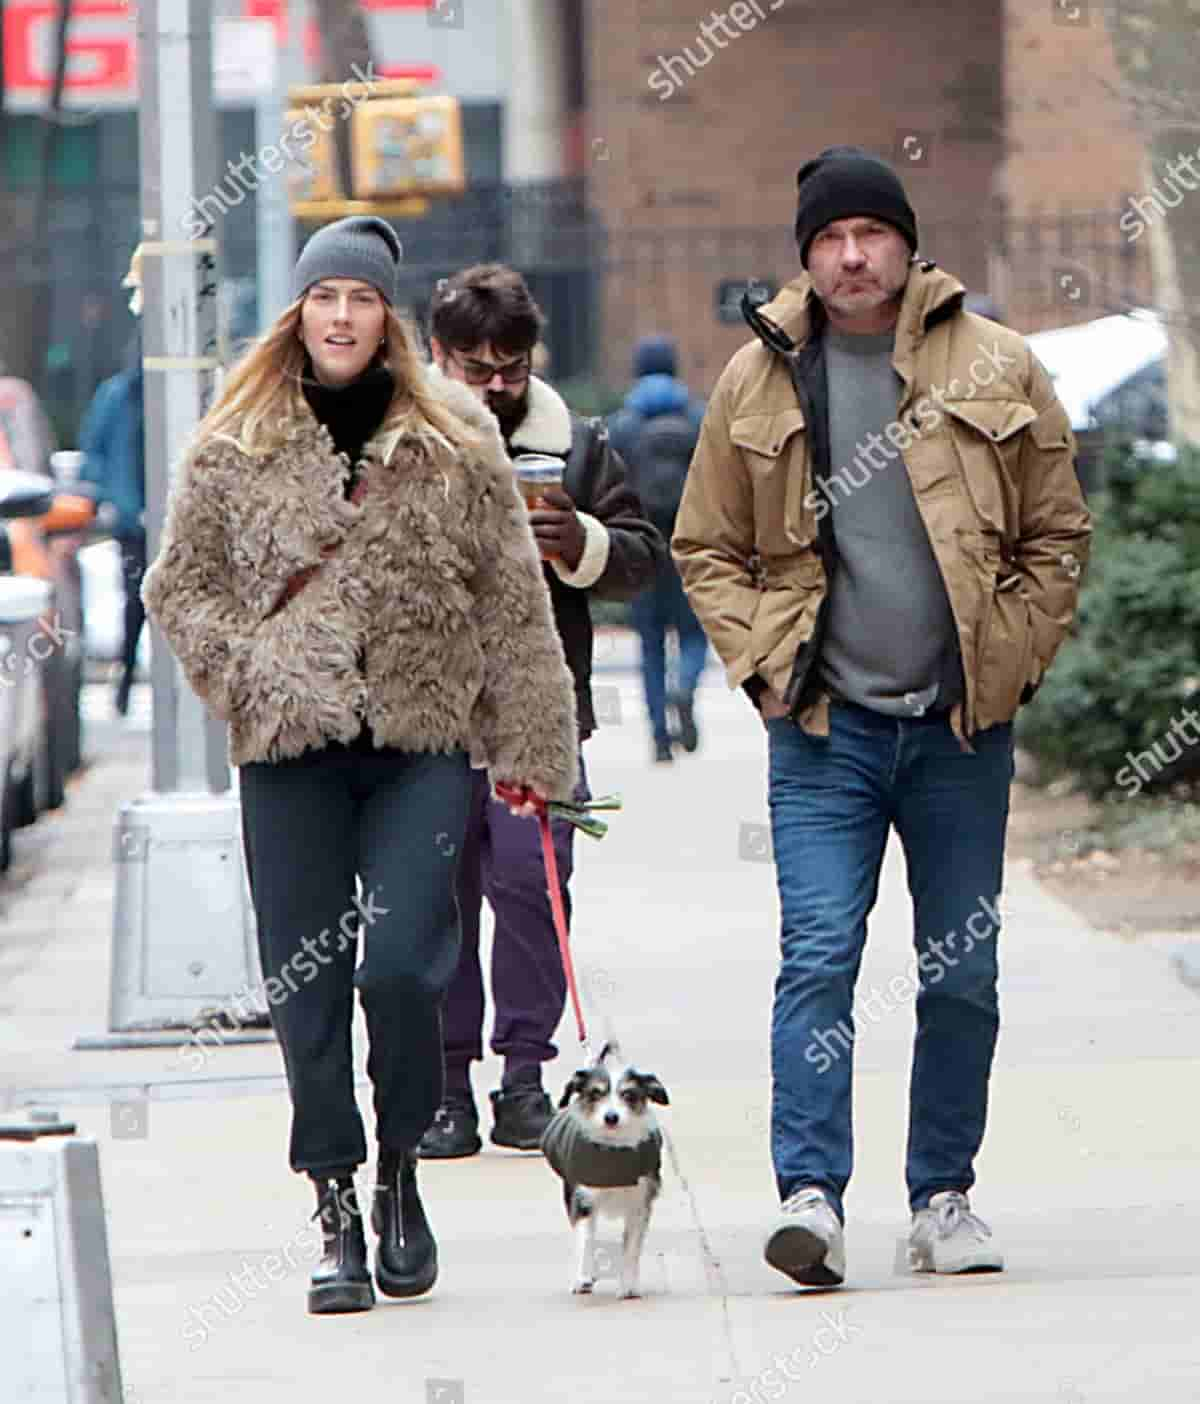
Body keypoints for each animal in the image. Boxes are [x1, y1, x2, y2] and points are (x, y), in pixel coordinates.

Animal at [541, 1038, 670, 1297]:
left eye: (628, 1094)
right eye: (595, 1093)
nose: (611, 1117)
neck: (613, 1152)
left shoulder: (640, 1202)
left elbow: (631, 1247)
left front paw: (628, 1285)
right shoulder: (581, 1198)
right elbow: (585, 1240)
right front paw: (583, 1278)